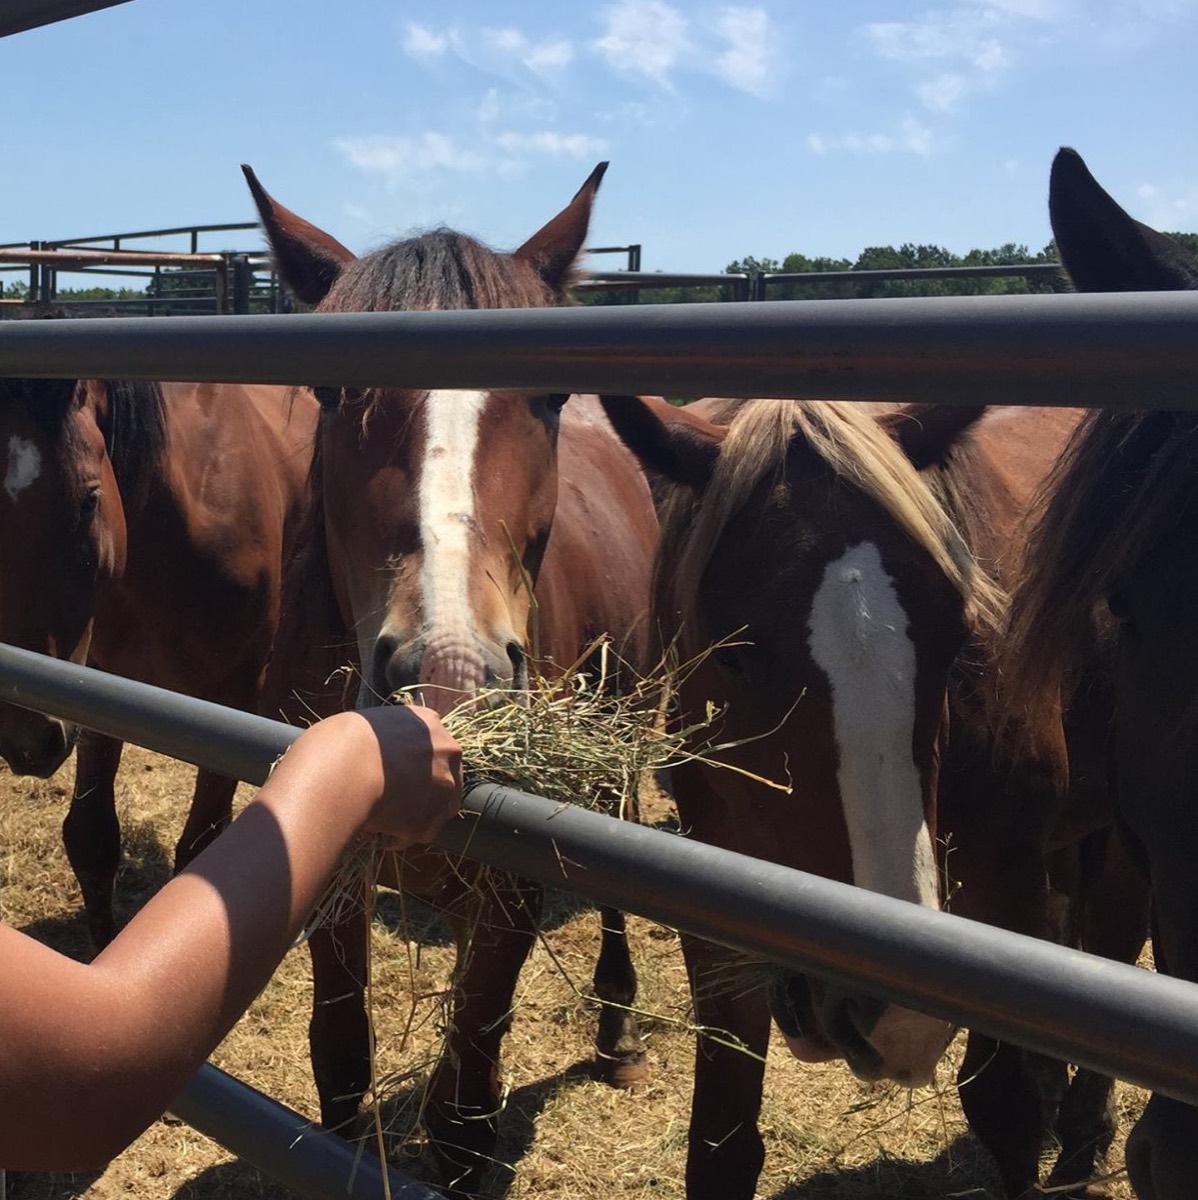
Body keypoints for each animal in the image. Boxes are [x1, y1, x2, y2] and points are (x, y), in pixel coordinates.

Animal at [0, 370, 317, 948]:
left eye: (88, 500)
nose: (24, 739)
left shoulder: (233, 703)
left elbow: (201, 855)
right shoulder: (99, 692)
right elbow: (92, 839)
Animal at [244, 163, 659, 1190]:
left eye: (550, 394)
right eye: (329, 389)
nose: (448, 674)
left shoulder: (516, 884)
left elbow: (470, 1108)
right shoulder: (330, 870)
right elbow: (342, 1063)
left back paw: (620, 1031)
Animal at [599, 394, 1148, 1200]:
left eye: (958, 640)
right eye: (737, 657)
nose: (896, 1018)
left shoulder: (1003, 885)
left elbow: (1004, 1105)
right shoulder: (713, 908)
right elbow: (721, 1145)